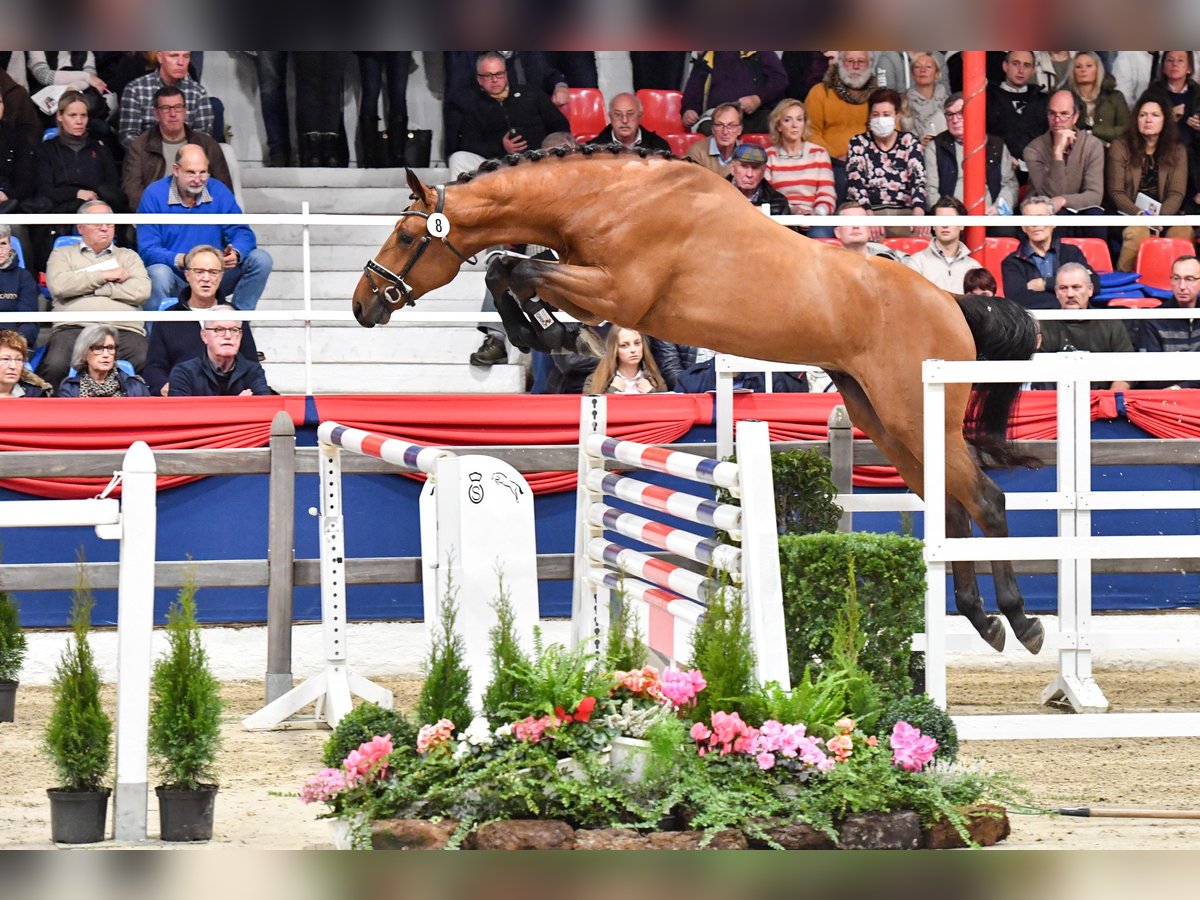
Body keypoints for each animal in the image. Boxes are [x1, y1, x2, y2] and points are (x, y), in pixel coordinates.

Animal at [350, 146, 1046, 657]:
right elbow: (506, 269)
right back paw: (983, 620)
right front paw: (541, 333)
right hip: (886, 420)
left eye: (406, 234)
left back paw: (1021, 621)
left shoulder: (613, 292)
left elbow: (516, 267)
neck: (605, 199)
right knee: (951, 508)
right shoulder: (594, 289)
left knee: (985, 499)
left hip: (916, 415)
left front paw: (542, 333)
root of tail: (951, 301)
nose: (362, 304)